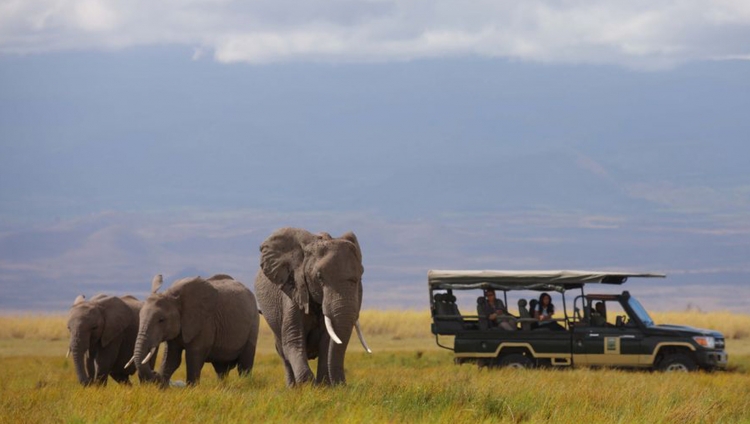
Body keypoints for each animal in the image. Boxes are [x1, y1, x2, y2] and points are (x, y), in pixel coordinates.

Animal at [134, 272, 262, 388]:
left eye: (161, 320)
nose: (155, 373)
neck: (173, 295)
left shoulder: (205, 323)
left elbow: (194, 357)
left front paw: (191, 389)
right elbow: (172, 358)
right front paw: (162, 388)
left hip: (253, 323)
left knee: (244, 364)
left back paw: (245, 384)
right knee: (221, 369)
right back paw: (222, 387)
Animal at [256, 227, 374, 386]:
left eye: (360, 276)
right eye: (319, 277)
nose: (342, 384)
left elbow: (327, 342)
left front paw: (324, 386)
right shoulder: (293, 290)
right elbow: (294, 339)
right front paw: (308, 386)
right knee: (283, 352)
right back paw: (292, 387)